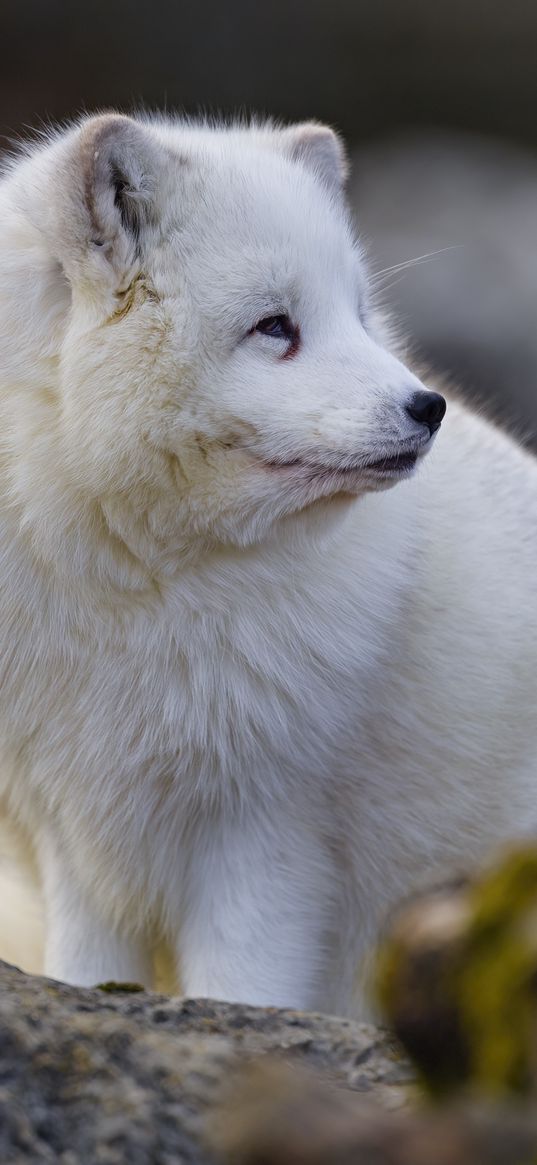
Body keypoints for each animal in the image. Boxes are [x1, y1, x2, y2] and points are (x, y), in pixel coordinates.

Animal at [0, 113, 533, 1015]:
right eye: (274, 326)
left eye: (359, 314)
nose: (426, 407)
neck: (138, 595)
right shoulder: (75, 834)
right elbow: (85, 969)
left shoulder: (268, 830)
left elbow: (245, 988)